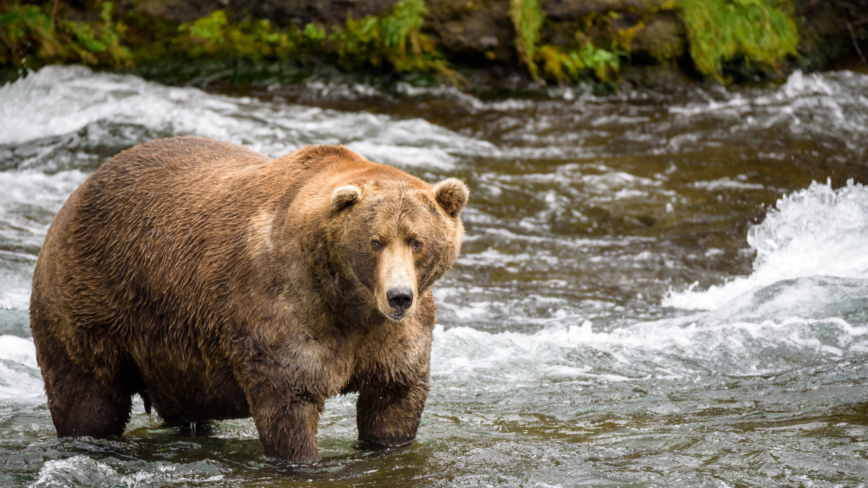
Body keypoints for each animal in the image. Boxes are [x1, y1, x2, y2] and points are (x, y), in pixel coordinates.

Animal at [29, 136, 468, 463]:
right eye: (375, 241)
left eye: (417, 241)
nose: (399, 297)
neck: (349, 301)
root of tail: (78, 192)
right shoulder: (285, 308)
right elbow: (289, 403)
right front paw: (302, 457)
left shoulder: (393, 338)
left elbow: (394, 400)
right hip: (90, 300)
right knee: (87, 397)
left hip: (172, 352)